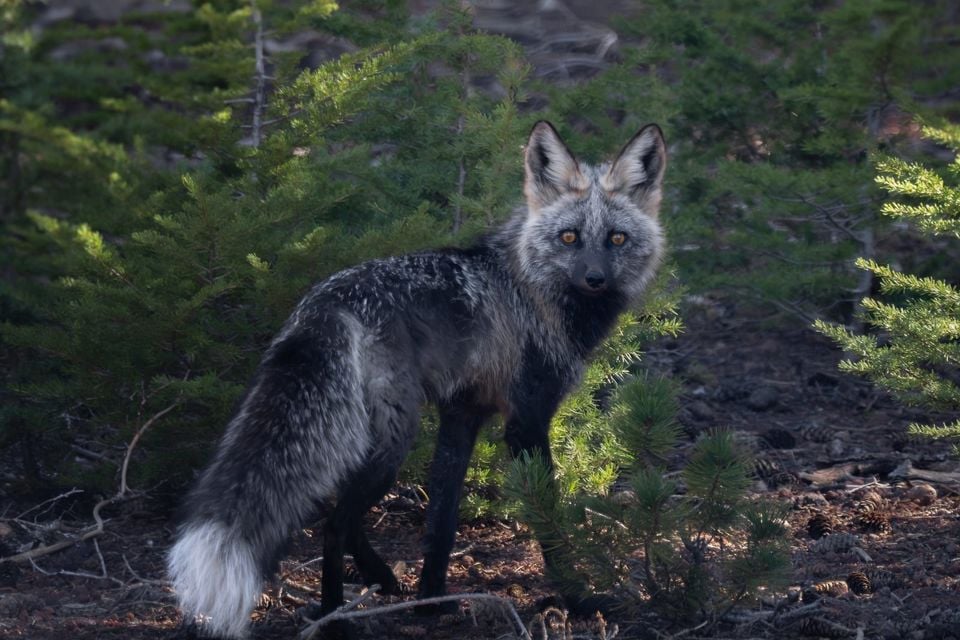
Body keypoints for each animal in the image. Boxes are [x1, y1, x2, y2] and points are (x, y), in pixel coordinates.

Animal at [167, 120, 667, 639]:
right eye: (569, 238)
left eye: (616, 240)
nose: (595, 279)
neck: (530, 287)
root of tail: (328, 300)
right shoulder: (525, 420)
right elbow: (546, 521)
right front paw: (578, 598)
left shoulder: (462, 412)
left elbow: (441, 520)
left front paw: (431, 600)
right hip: (394, 438)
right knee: (334, 524)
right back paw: (333, 616)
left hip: (370, 434)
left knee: (339, 514)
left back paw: (381, 579)